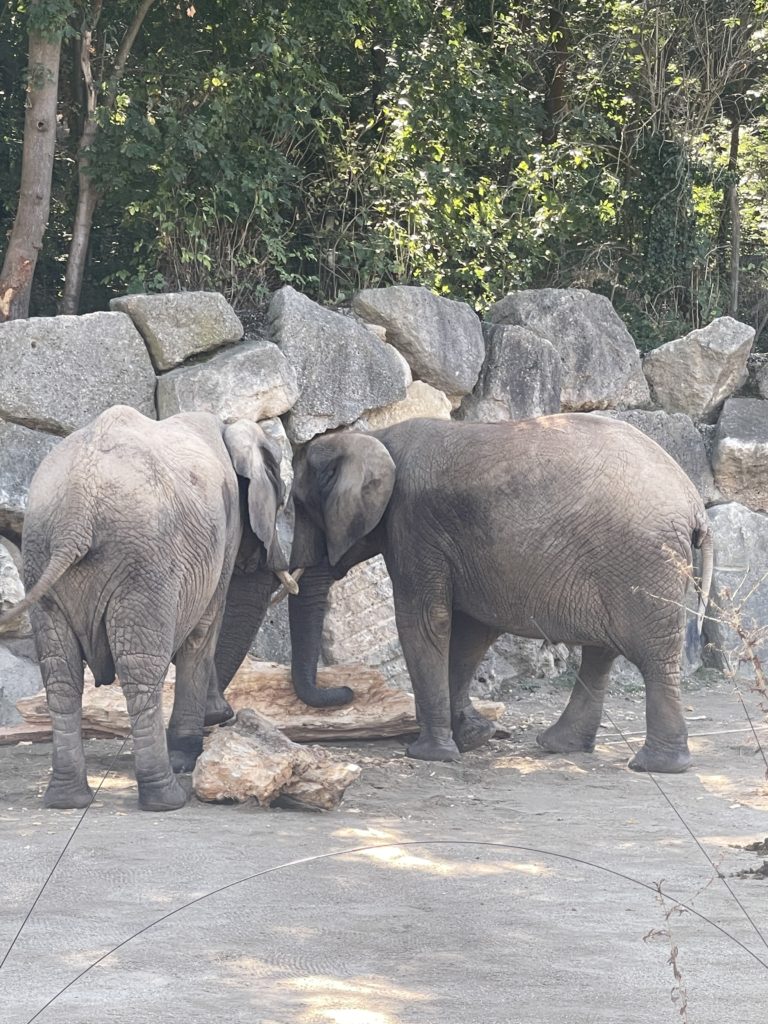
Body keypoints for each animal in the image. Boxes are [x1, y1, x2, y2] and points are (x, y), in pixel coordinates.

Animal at [0, 403, 296, 811]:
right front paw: (187, 754)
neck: (228, 425)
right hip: (145, 564)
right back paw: (167, 797)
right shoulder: (226, 529)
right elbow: (205, 628)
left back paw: (67, 799)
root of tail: (78, 507)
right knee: (140, 669)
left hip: (41, 553)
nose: (226, 714)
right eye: (282, 501)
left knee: (61, 673)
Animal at [282, 411, 716, 770]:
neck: (374, 435)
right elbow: (471, 631)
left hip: (642, 562)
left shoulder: (414, 523)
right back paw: (559, 746)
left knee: (651, 657)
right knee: (603, 652)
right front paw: (475, 737)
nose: (346, 691)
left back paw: (656, 765)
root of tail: (694, 503)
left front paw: (430, 753)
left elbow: (424, 621)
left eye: (301, 507)